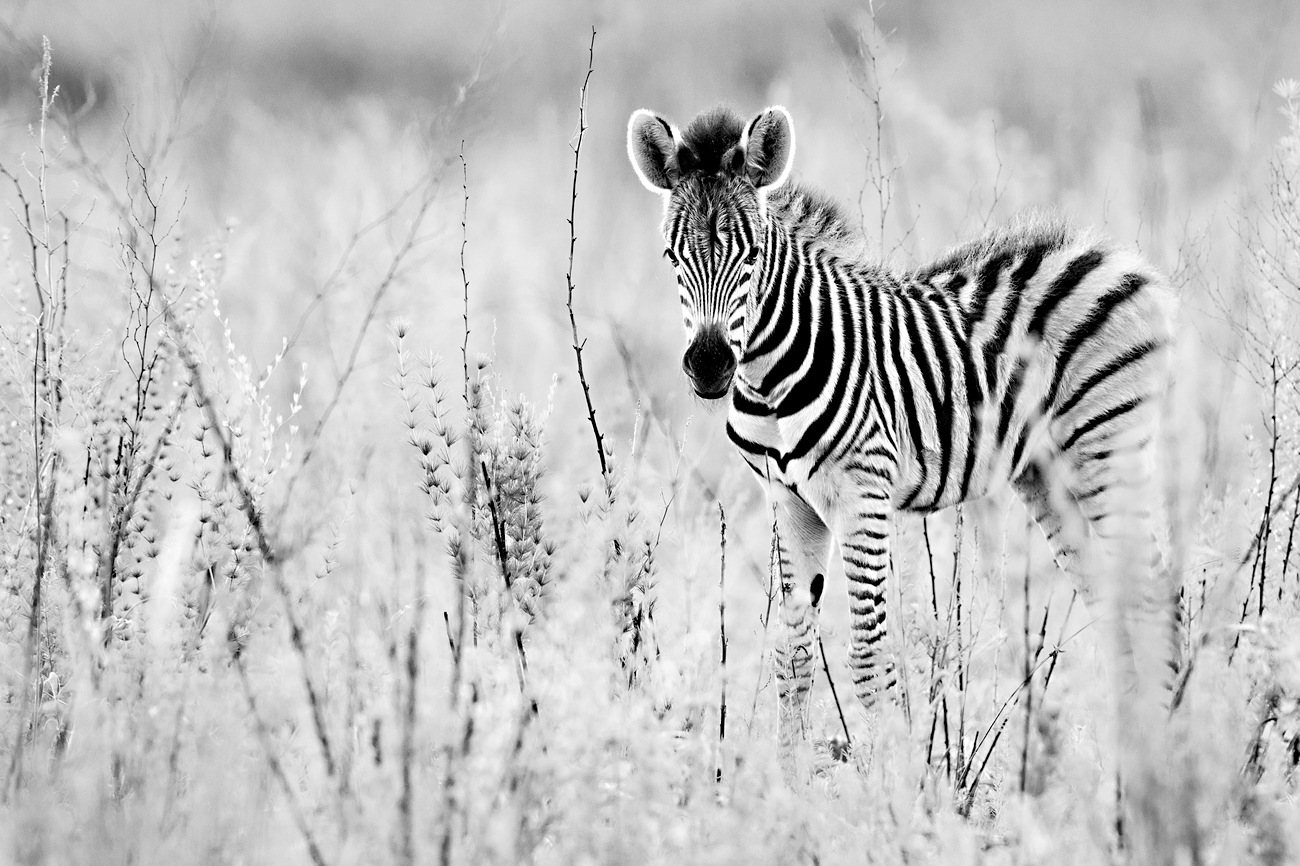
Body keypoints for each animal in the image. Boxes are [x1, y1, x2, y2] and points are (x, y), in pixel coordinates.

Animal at [626, 104, 1180, 766]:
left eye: (753, 256)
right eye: (670, 256)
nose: (709, 367)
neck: (768, 379)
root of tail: (1118, 257)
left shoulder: (863, 490)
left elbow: (868, 655)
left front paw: (894, 780)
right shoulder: (787, 500)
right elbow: (792, 654)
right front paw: (785, 782)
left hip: (1106, 451)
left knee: (1154, 593)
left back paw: (1171, 750)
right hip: (1047, 475)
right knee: (1113, 596)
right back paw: (1129, 752)